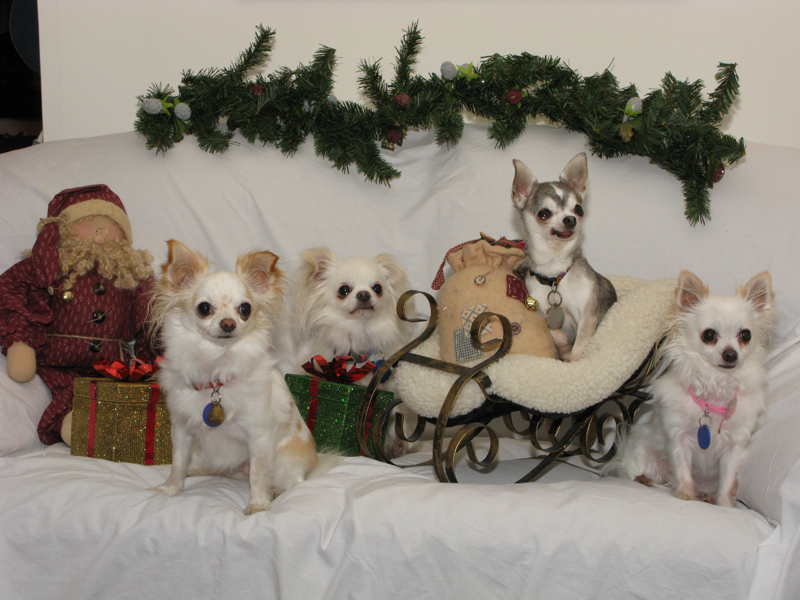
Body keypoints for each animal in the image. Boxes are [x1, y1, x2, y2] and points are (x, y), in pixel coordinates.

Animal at [150, 240, 318, 514]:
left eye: (245, 309)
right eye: (204, 308)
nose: (228, 323)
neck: (216, 369)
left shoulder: (259, 435)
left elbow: (258, 474)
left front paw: (258, 504)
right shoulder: (182, 430)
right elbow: (178, 462)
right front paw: (170, 488)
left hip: (283, 463)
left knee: (292, 482)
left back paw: (275, 492)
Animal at [293, 247, 416, 458]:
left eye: (377, 288)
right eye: (344, 290)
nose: (364, 294)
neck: (360, 334)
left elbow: (398, 418)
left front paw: (398, 444)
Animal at [511, 153, 616, 361]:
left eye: (579, 209)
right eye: (544, 214)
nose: (570, 219)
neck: (555, 274)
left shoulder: (587, 317)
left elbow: (580, 346)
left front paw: (573, 361)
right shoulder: (542, 311)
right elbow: (555, 332)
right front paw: (565, 348)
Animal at [608, 269, 774, 507]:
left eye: (745, 335)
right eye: (709, 335)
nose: (731, 354)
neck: (714, 392)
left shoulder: (734, 448)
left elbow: (727, 482)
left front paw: (725, 506)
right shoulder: (679, 439)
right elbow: (683, 471)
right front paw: (686, 496)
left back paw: (705, 496)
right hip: (643, 453)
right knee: (643, 474)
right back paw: (645, 479)